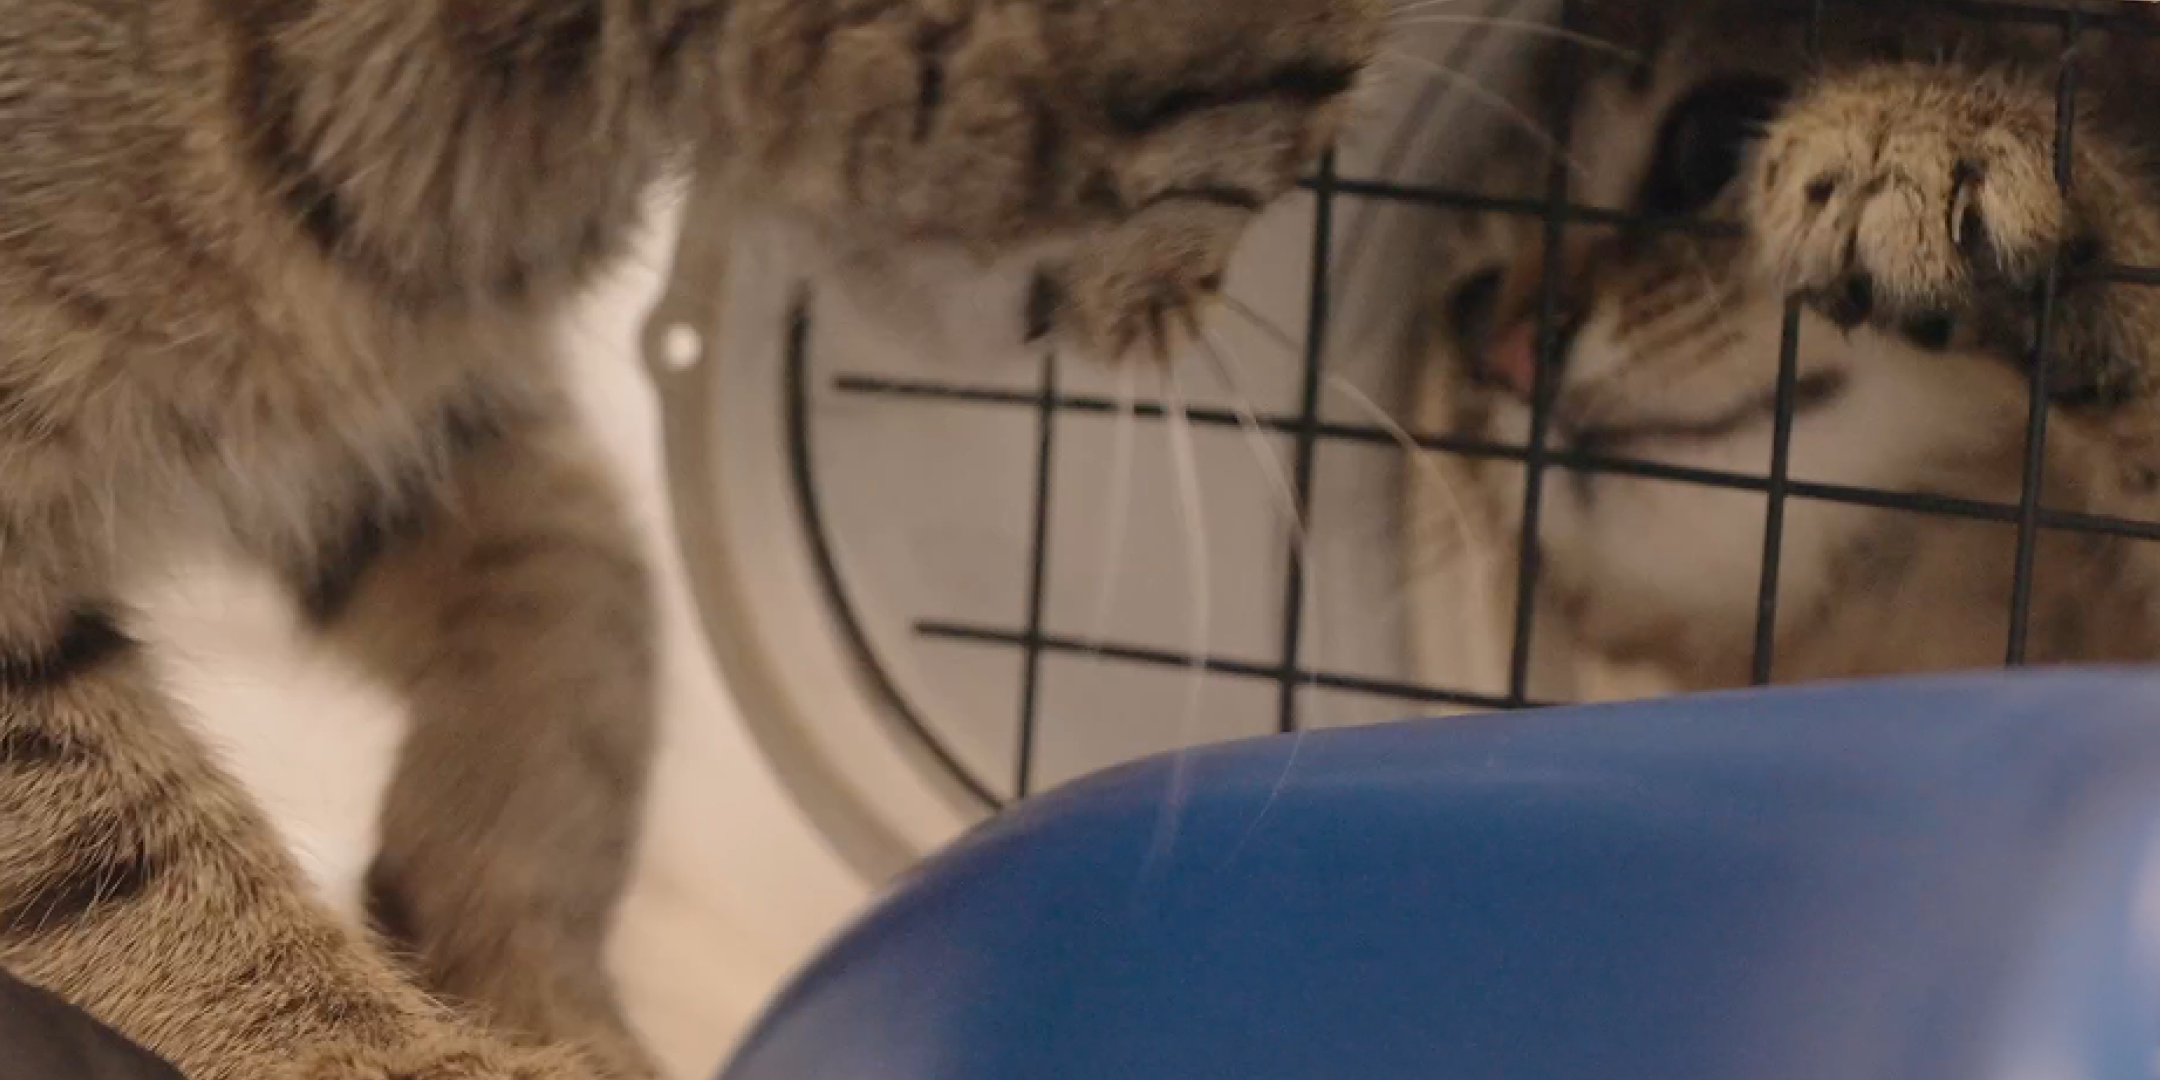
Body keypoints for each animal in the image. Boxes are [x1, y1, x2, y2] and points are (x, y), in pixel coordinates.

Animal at [0, 2, 1380, 1079]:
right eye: (1339, 79)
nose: (1203, 308)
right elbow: (111, 851)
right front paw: (404, 1050)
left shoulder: (403, 411)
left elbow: (586, 609)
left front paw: (532, 978)